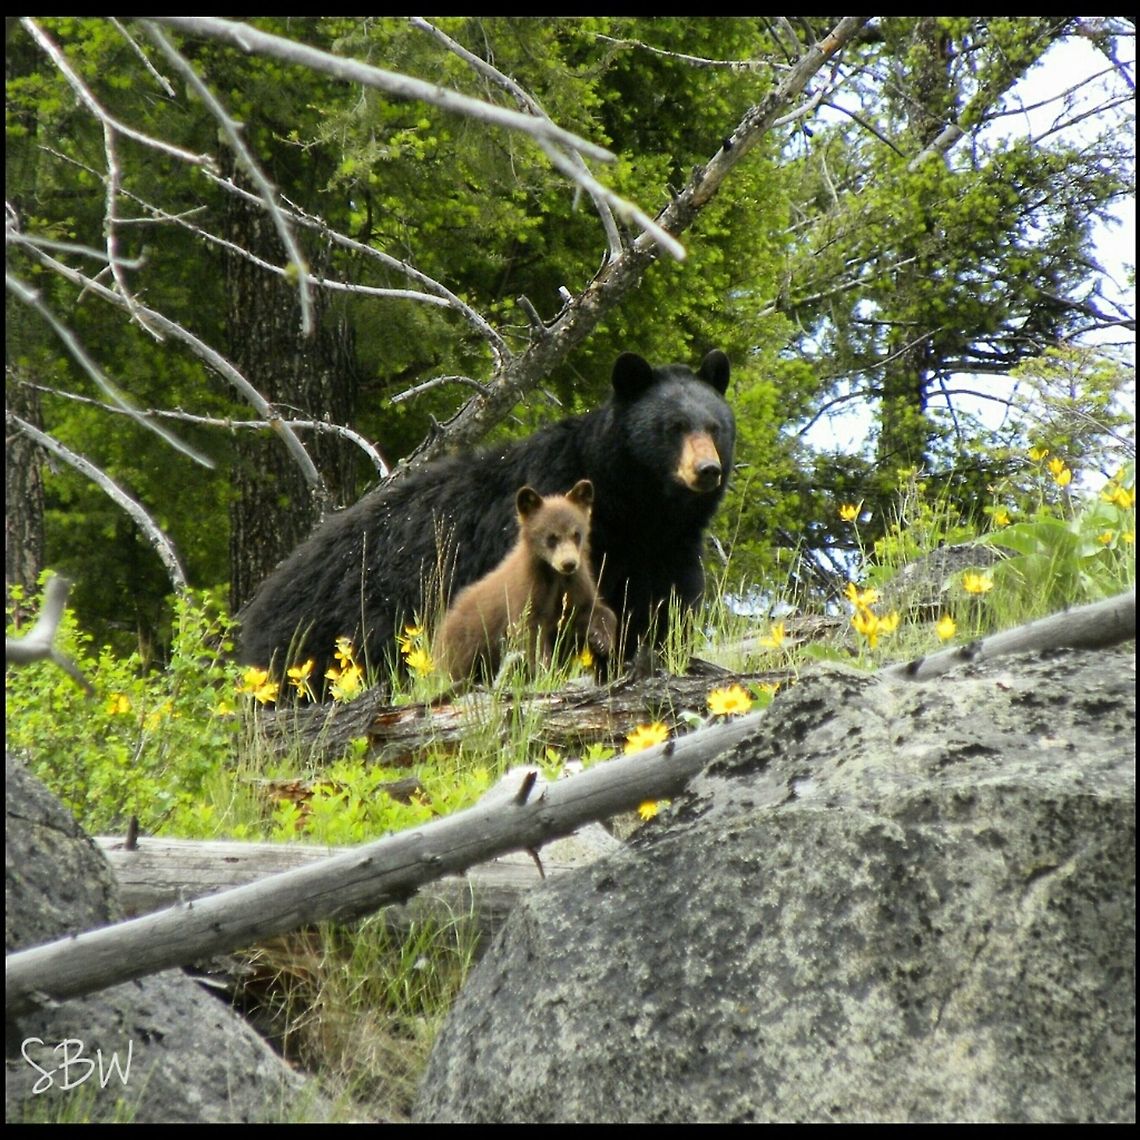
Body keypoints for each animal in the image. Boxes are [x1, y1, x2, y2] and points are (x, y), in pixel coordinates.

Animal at [437, 479, 618, 684]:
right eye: (551, 538)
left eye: (576, 534)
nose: (569, 563)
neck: (554, 576)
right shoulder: (527, 593)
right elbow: (529, 633)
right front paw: (545, 670)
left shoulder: (576, 585)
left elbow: (594, 609)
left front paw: (602, 639)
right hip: (464, 648)